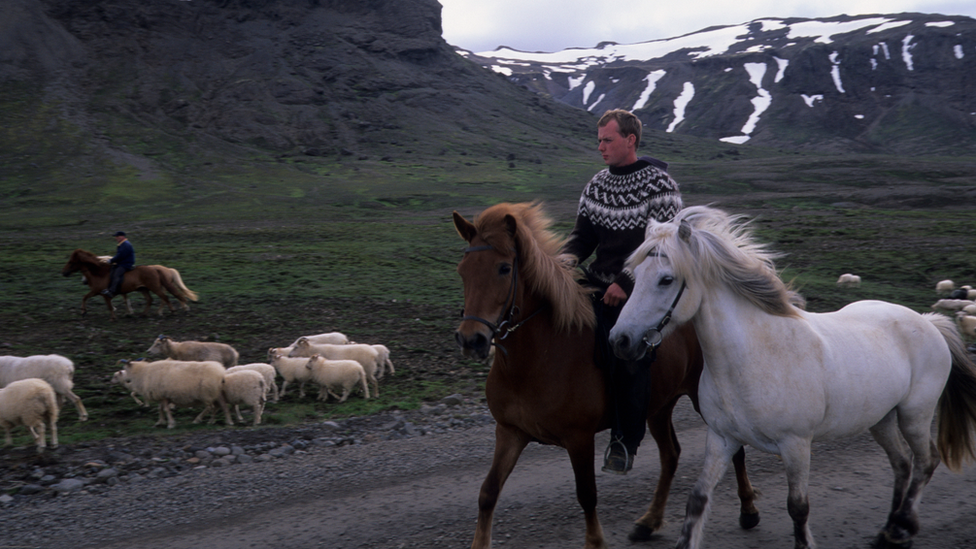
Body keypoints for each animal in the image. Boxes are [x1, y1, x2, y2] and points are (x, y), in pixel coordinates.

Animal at [60, 247, 194, 318]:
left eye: (71, 262)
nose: (64, 272)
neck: (100, 272)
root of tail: (156, 269)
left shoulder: (101, 291)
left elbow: (109, 302)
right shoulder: (98, 291)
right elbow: (85, 297)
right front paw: (83, 311)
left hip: (155, 287)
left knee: (165, 298)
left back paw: (172, 310)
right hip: (144, 289)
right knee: (152, 299)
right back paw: (145, 314)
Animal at [452, 202, 764, 548]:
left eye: (504, 268)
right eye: (463, 270)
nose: (471, 339)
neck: (534, 361)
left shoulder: (579, 438)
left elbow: (587, 494)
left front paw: (595, 541)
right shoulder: (510, 432)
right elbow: (488, 492)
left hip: (699, 399)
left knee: (734, 450)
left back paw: (748, 509)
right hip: (657, 406)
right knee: (671, 455)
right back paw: (648, 522)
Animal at [608, 204, 976, 548]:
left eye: (666, 279)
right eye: (634, 274)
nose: (620, 340)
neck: (752, 358)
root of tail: (928, 322)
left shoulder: (796, 445)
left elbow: (798, 507)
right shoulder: (722, 439)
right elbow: (697, 499)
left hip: (915, 414)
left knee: (925, 462)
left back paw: (901, 529)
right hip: (881, 419)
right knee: (902, 465)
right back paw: (886, 532)